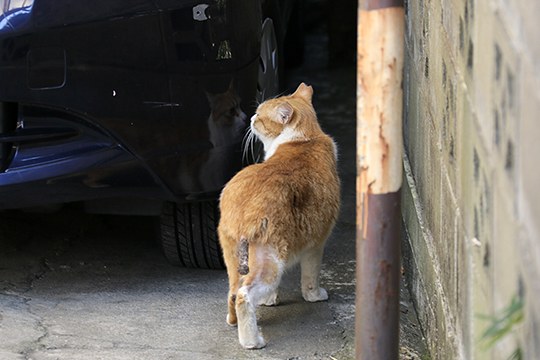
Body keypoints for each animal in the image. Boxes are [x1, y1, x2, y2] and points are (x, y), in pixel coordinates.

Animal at [217, 82, 340, 348]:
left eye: (260, 114)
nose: (251, 118)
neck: (304, 138)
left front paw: (269, 301)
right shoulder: (316, 243)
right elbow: (311, 278)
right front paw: (315, 296)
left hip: (234, 257)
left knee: (233, 291)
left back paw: (234, 323)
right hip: (270, 262)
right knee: (243, 294)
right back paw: (252, 342)